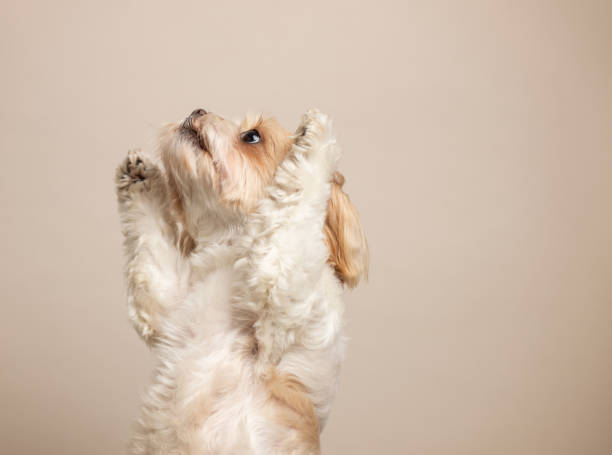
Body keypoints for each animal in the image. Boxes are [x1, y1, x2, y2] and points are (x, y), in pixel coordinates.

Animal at [117, 108, 370, 454]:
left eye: (252, 136)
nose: (197, 110)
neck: (231, 253)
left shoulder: (283, 293)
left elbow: (298, 197)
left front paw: (316, 137)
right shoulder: (166, 302)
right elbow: (150, 240)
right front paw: (140, 178)